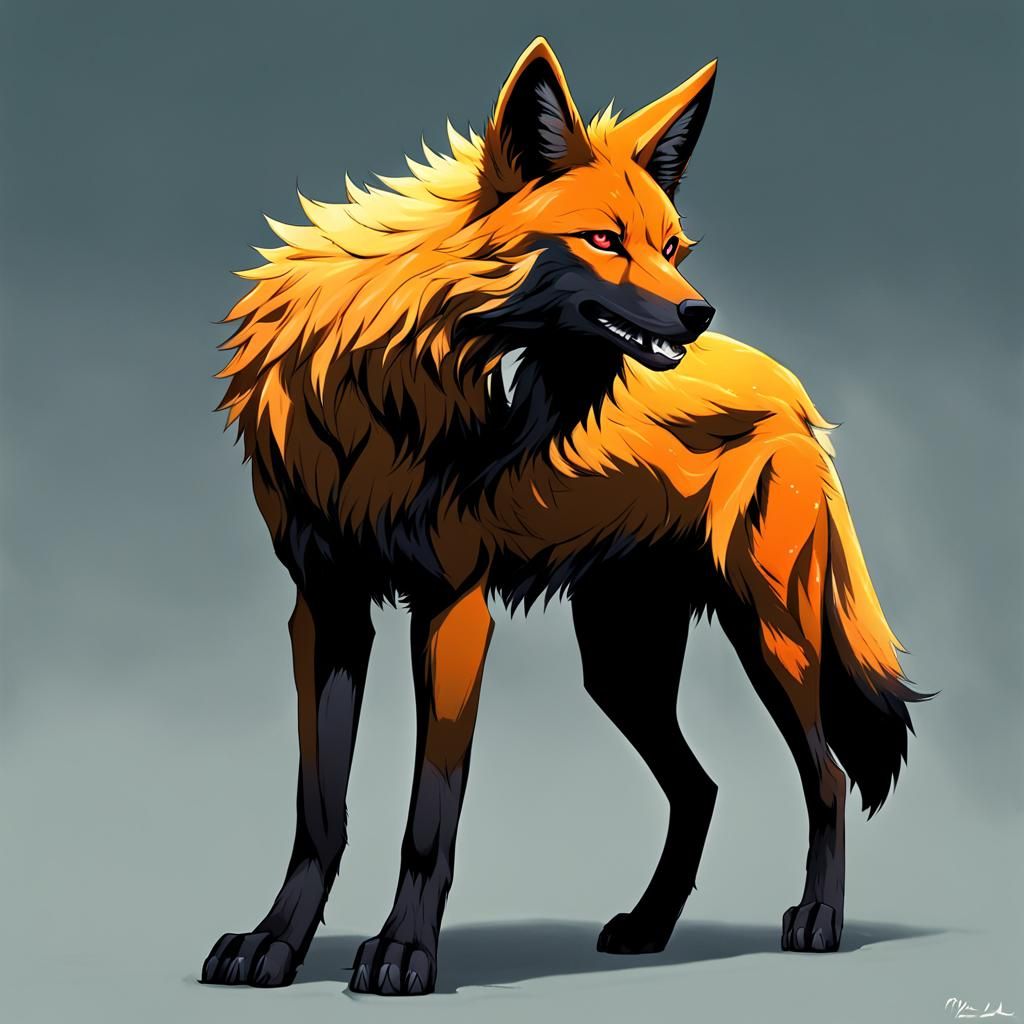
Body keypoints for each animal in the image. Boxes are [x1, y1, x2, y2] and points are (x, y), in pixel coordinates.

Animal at [201, 38, 926, 995]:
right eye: (604, 240)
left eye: (671, 246)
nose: (697, 312)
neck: (392, 384)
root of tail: (793, 394)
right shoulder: (326, 607)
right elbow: (318, 811)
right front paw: (274, 943)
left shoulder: (452, 608)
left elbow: (428, 817)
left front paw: (403, 952)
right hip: (621, 667)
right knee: (702, 788)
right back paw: (649, 926)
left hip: (771, 639)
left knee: (829, 775)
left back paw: (818, 922)